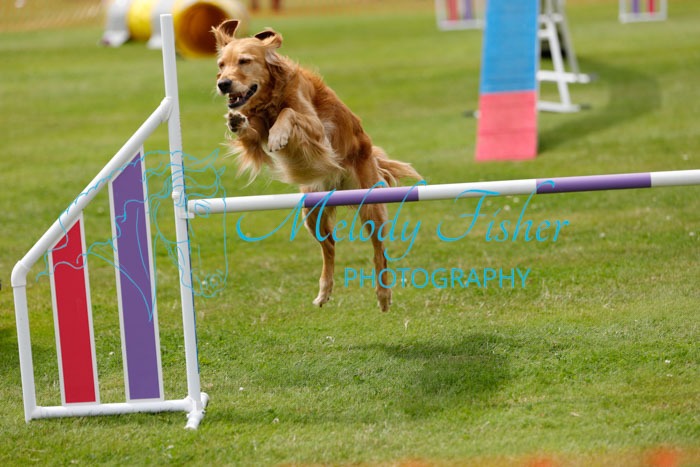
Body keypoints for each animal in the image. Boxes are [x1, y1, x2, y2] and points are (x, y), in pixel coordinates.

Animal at [213, 20, 421, 311]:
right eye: (221, 64)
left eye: (244, 61)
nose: (223, 84)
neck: (271, 97)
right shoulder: (256, 136)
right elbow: (250, 130)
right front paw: (236, 120)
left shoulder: (317, 130)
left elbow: (289, 113)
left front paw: (278, 135)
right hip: (311, 209)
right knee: (329, 246)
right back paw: (324, 291)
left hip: (369, 204)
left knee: (379, 250)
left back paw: (383, 295)